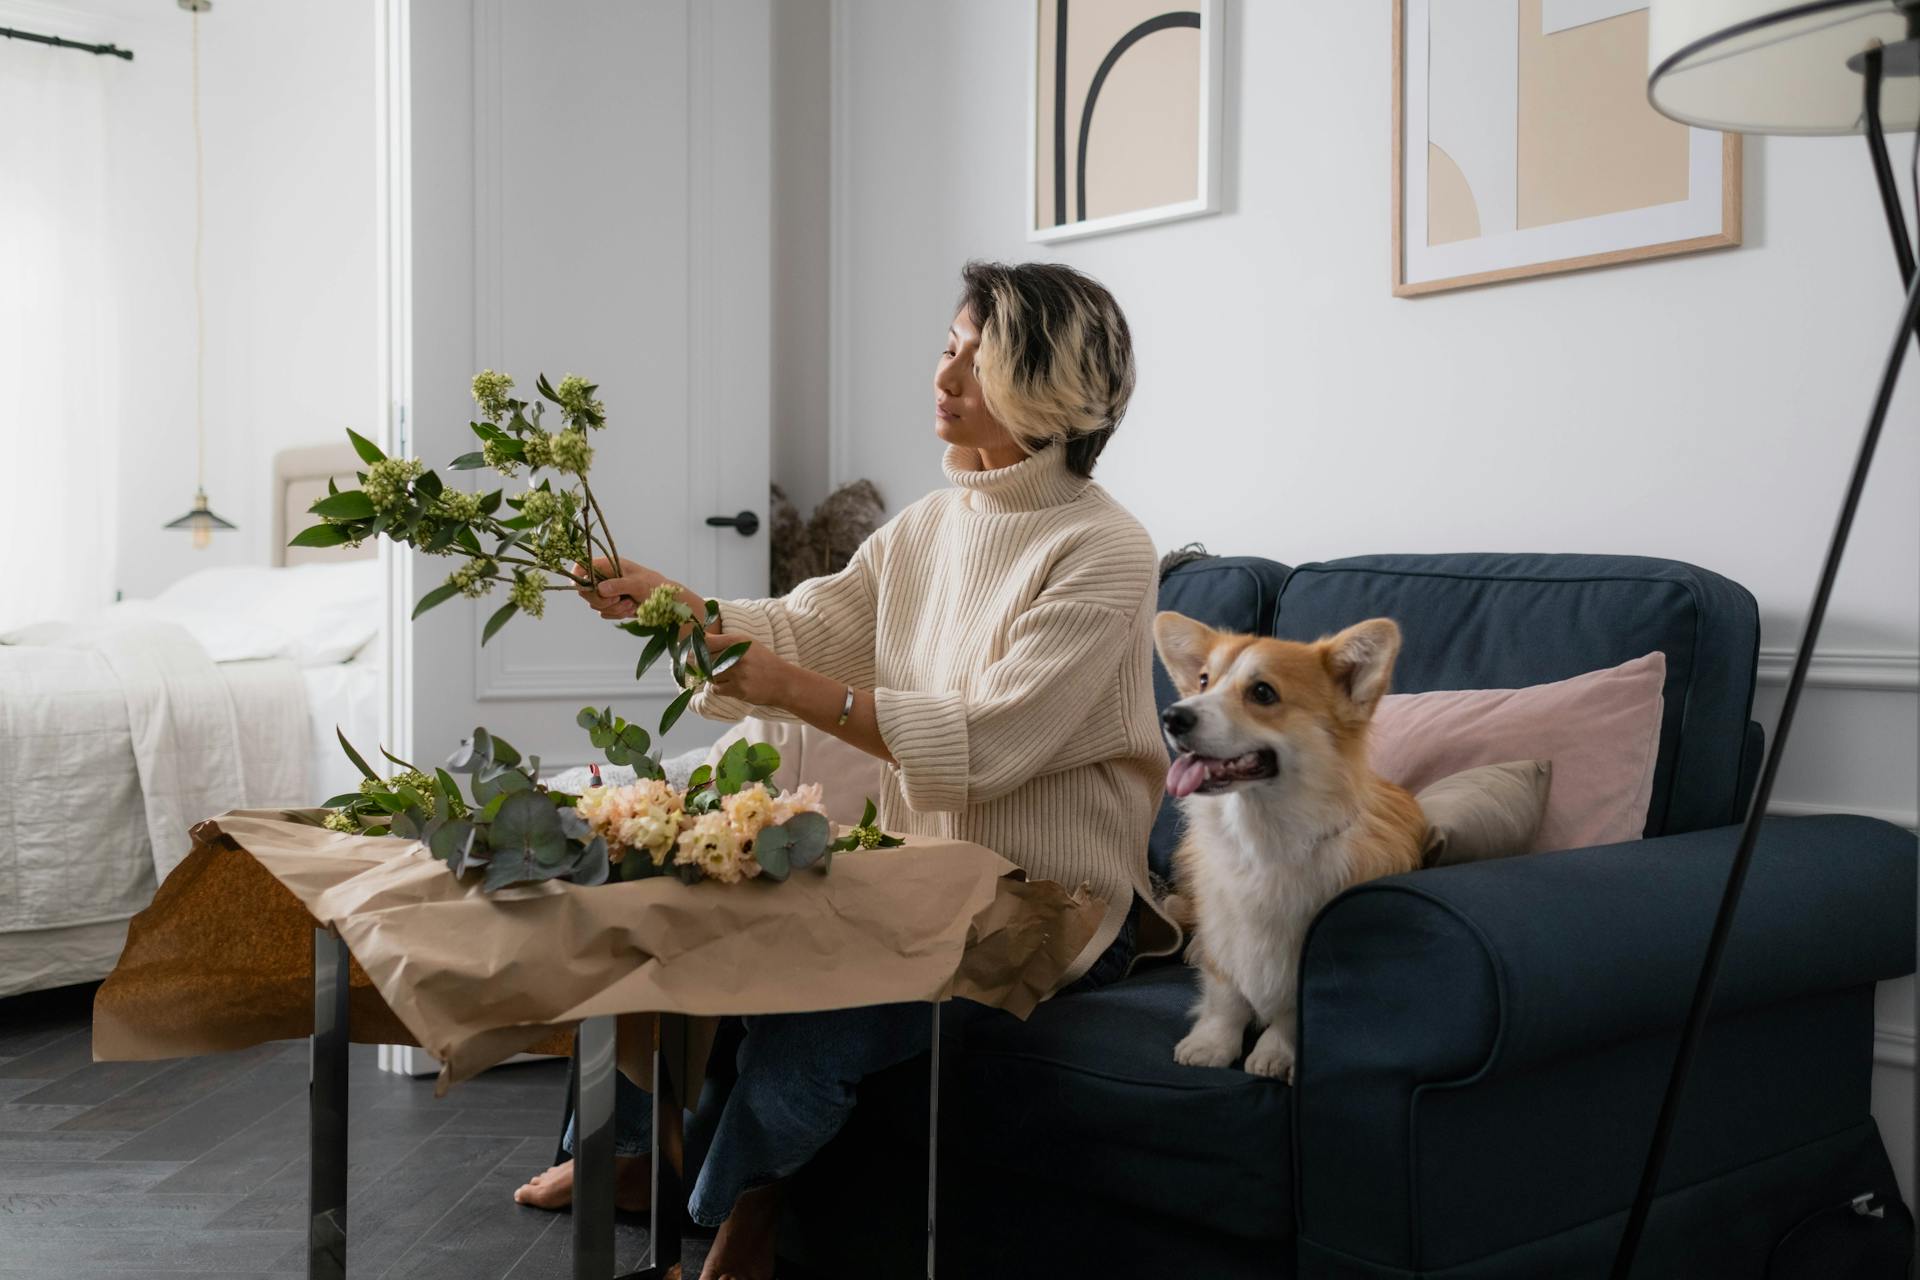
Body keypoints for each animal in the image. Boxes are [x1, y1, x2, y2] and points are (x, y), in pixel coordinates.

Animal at [1152, 610, 1428, 1082]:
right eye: (1204, 681)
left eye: (1263, 693)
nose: (1172, 716)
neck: (1259, 838)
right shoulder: (1227, 929)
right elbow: (1225, 993)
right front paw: (1210, 1043)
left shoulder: (1301, 951)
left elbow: (1289, 1009)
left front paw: (1276, 1053)